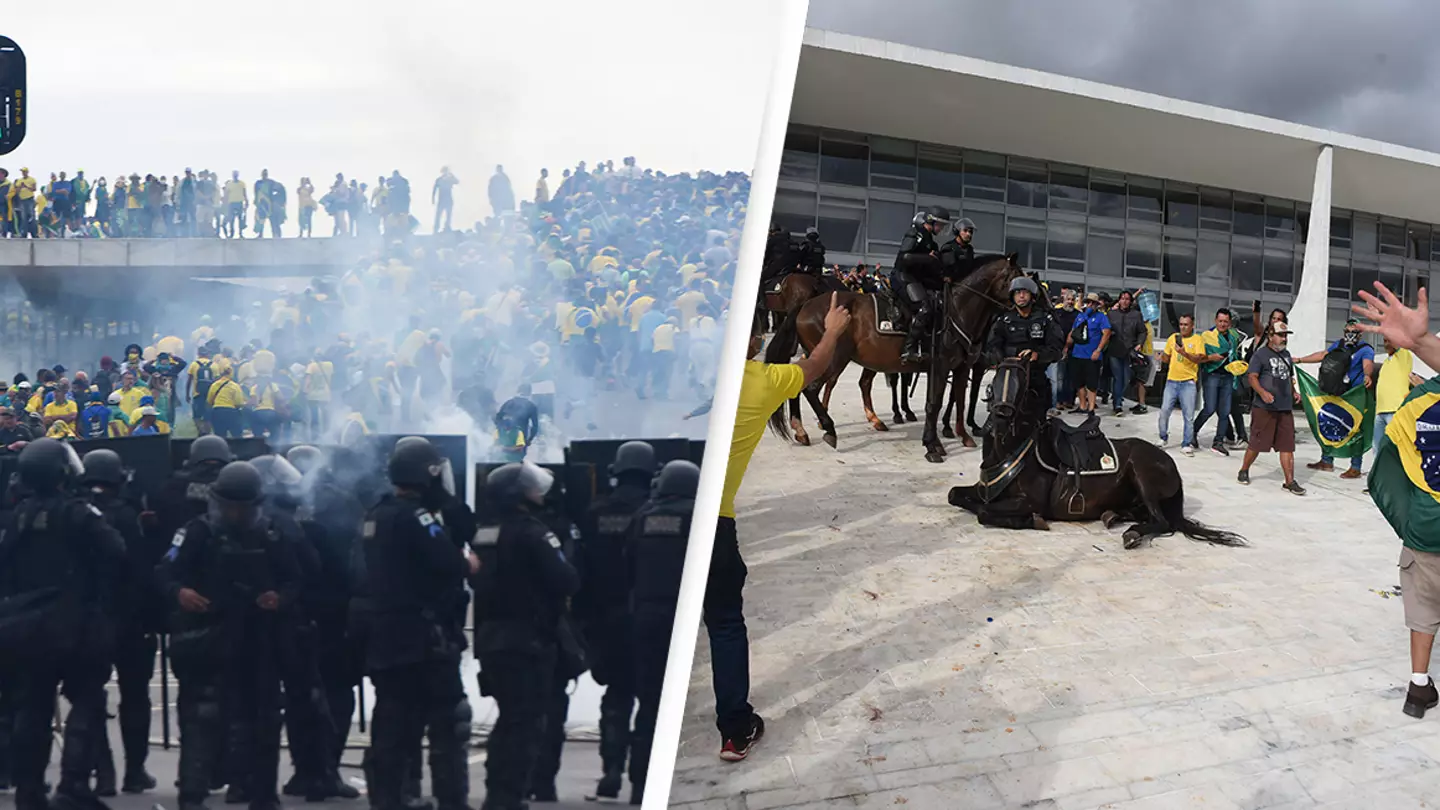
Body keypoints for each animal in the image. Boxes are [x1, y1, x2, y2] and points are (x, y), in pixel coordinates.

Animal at [766, 255, 1025, 464]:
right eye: (1017, 279)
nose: (1028, 304)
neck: (957, 311)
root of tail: (806, 304)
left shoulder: (961, 368)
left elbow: (957, 401)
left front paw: (961, 435)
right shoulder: (940, 367)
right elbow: (934, 404)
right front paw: (932, 445)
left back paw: (802, 430)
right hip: (833, 358)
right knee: (812, 388)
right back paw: (828, 428)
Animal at [944, 355, 1249, 544]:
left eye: (1022, 383)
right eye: (995, 381)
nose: (1001, 419)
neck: (1012, 451)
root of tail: (1169, 462)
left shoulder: (1031, 501)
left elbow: (985, 512)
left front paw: (1033, 521)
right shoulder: (982, 488)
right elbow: (956, 495)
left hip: (1142, 475)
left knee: (1161, 521)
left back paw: (1132, 534)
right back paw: (1113, 515)